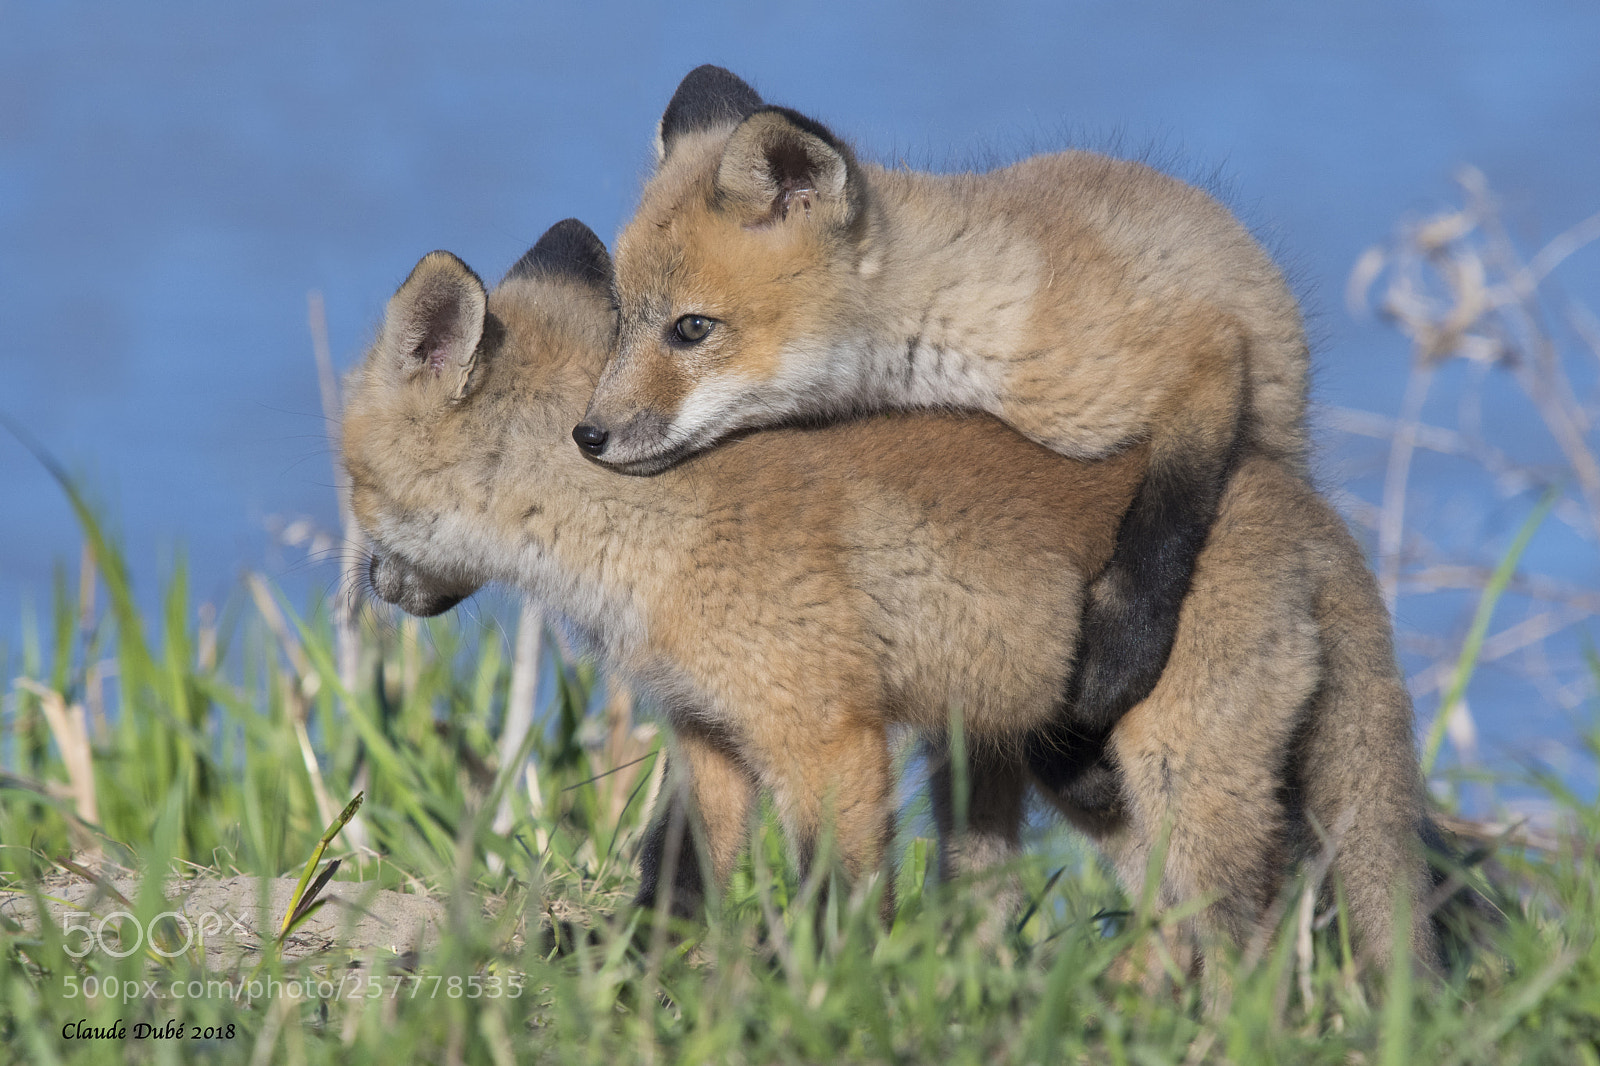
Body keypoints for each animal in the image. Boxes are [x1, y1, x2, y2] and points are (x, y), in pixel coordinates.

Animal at [342, 219, 1435, 974]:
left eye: (353, 489)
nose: (376, 591)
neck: (645, 528)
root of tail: (1305, 507)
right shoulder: (709, 738)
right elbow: (675, 878)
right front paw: (633, 966)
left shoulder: (828, 736)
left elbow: (838, 905)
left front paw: (818, 993)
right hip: (1095, 793)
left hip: (1185, 781)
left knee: (1255, 946)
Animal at [572, 66, 1314, 799]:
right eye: (622, 321)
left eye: (692, 328)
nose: (588, 435)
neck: (953, 324)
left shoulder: (1191, 357)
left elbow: (1168, 518)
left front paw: (1120, 657)